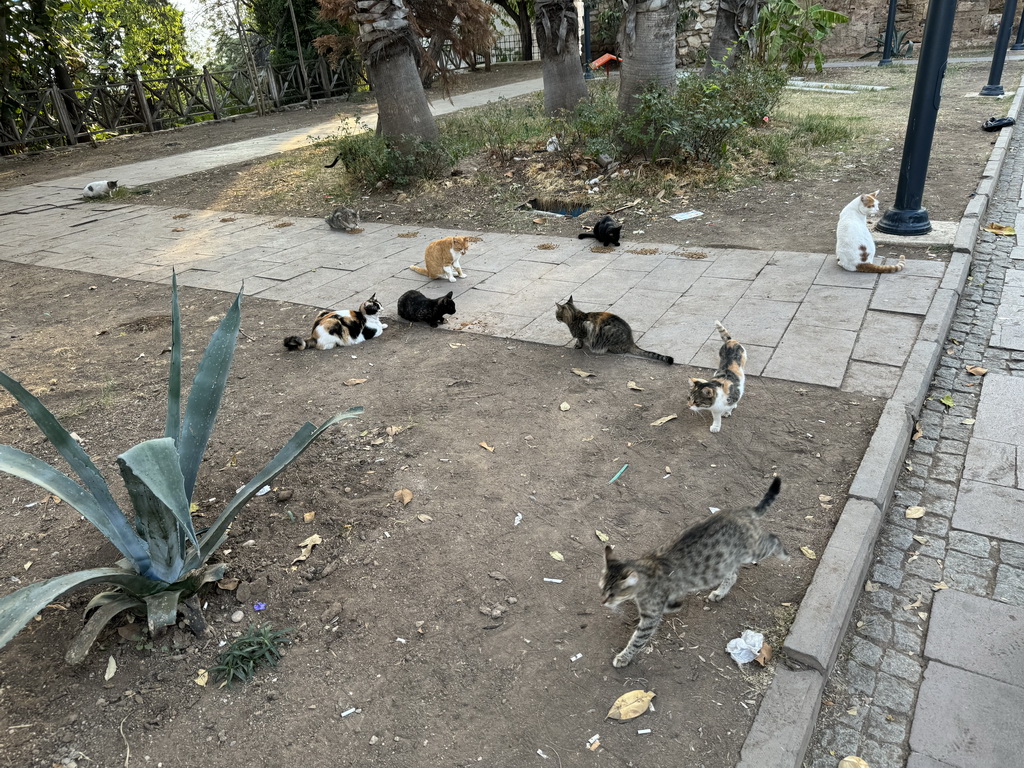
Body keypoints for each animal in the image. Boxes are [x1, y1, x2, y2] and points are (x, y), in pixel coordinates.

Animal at [598, 479, 782, 671]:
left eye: (612, 595)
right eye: (602, 589)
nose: (602, 601)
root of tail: (740, 511)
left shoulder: (650, 617)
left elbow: (637, 640)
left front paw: (624, 657)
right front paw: (674, 604)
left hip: (752, 551)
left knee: (774, 540)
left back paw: (784, 553)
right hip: (724, 562)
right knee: (732, 575)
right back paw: (720, 592)